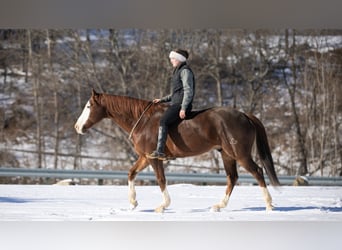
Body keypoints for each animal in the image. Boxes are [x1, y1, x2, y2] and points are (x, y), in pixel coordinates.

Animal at [75, 89, 280, 212]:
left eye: (88, 106)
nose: (77, 127)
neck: (143, 121)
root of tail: (244, 115)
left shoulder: (154, 159)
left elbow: (161, 180)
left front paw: (163, 205)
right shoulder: (144, 157)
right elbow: (131, 173)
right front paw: (133, 202)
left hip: (240, 154)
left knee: (258, 171)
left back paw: (269, 205)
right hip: (227, 155)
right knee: (232, 178)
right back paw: (219, 205)